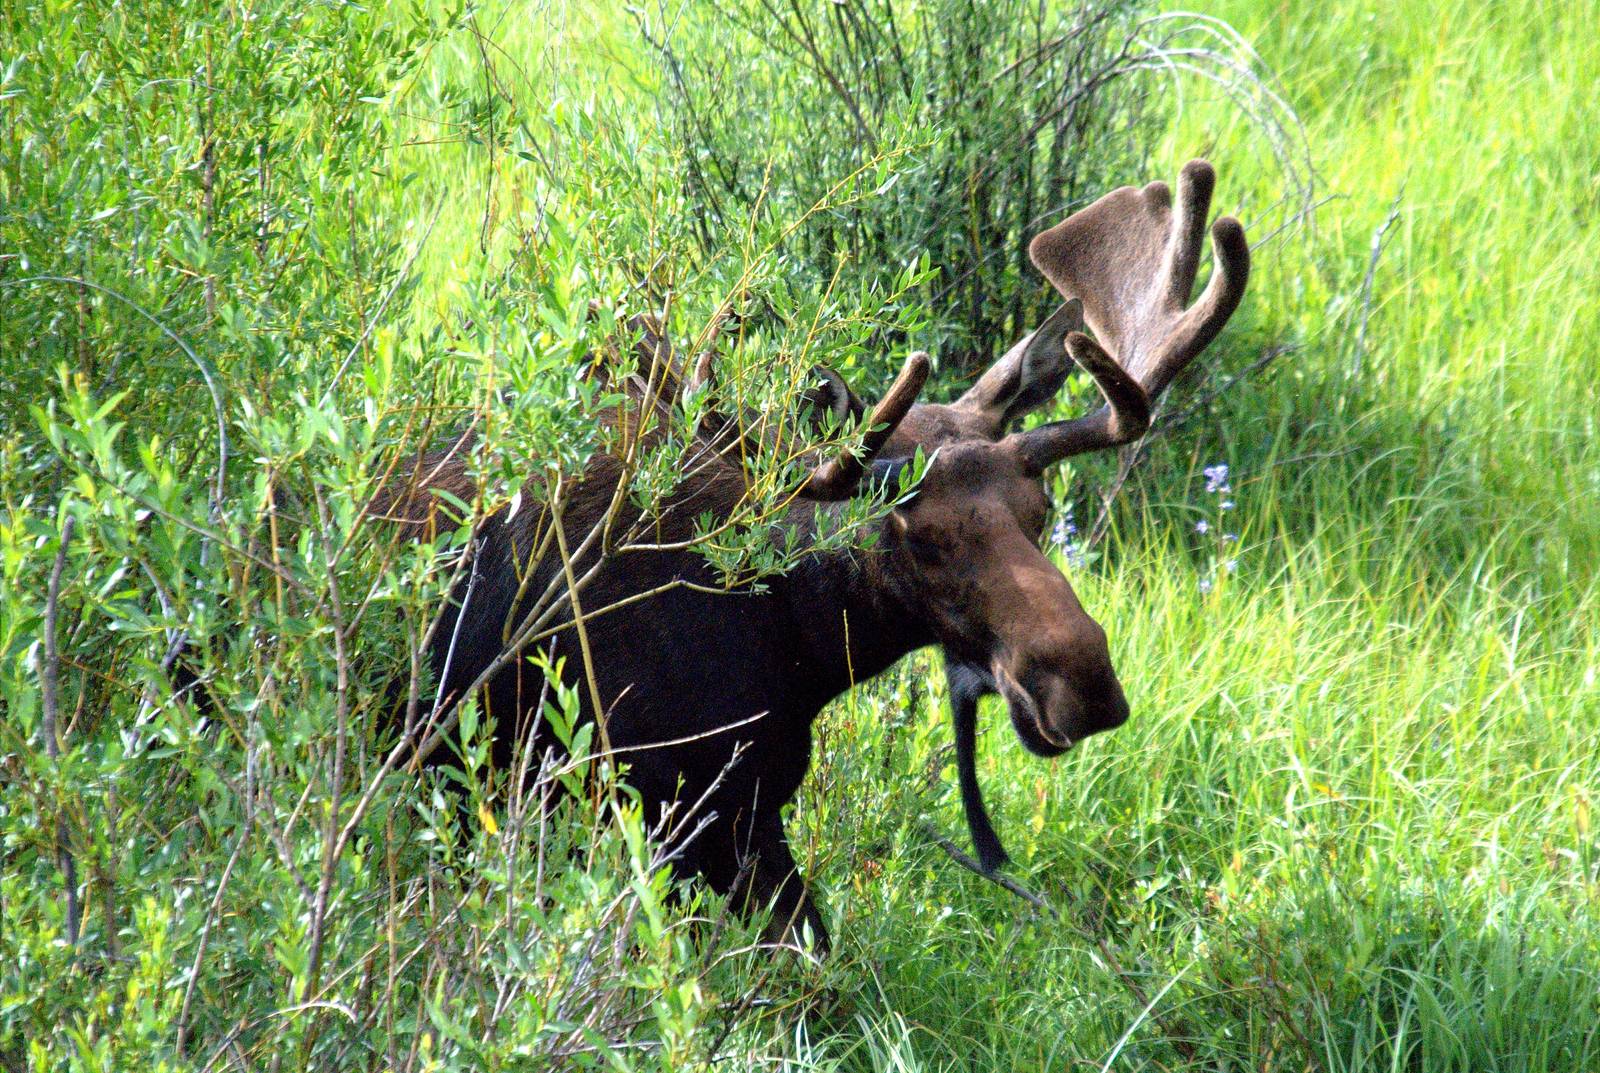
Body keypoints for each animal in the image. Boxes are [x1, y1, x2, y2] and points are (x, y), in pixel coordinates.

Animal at [381, 160, 1250, 951]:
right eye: (913, 536)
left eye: (1039, 514)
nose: (1085, 681)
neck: (793, 638)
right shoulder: (665, 806)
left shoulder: (736, 814)